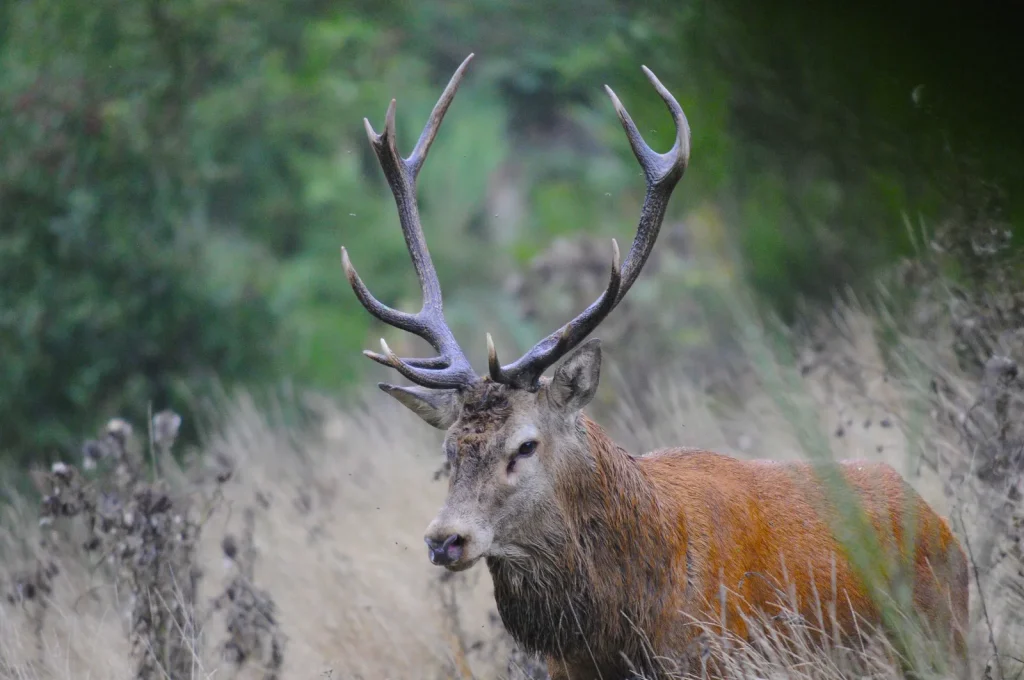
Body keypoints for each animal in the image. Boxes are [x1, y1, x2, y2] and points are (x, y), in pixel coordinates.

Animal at [340, 54, 969, 680]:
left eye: (525, 445)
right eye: (449, 450)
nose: (444, 539)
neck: (628, 625)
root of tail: (941, 527)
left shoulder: (732, 659)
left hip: (945, 642)